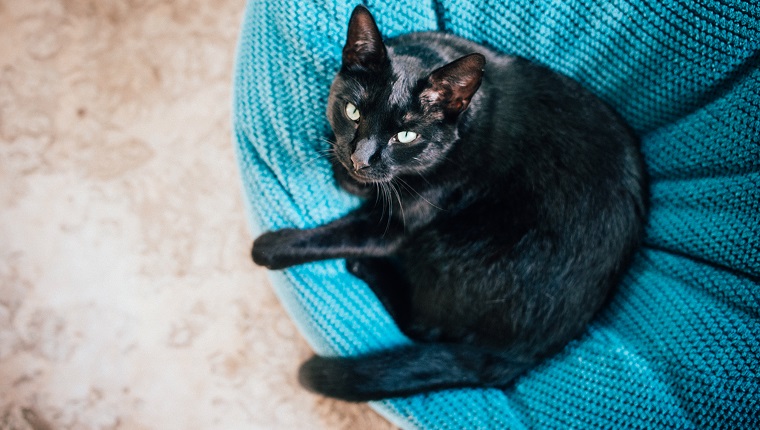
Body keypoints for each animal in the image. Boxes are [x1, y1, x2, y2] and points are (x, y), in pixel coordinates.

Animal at [252, 5, 644, 402]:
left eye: (405, 135)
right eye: (352, 112)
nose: (359, 159)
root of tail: (529, 354)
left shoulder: (394, 229)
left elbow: (334, 236)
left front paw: (270, 246)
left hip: (450, 244)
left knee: (421, 326)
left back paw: (366, 268)